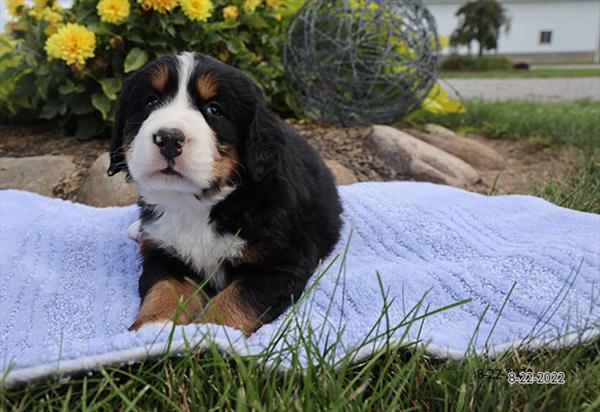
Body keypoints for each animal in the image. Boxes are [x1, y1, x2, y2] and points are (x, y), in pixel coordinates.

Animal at [108, 52, 342, 334]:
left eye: (214, 110)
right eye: (150, 101)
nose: (169, 138)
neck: (196, 204)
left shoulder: (280, 265)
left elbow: (235, 301)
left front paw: (210, 335)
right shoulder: (166, 256)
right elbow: (163, 289)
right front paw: (152, 329)